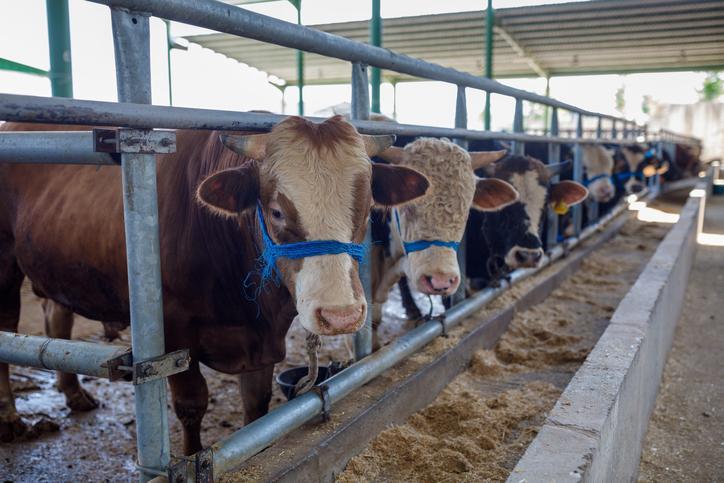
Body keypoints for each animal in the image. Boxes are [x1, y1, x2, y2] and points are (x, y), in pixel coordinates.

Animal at [0, 116, 430, 454]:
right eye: (276, 211)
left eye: (366, 208)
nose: (340, 315)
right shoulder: (172, 332)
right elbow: (192, 405)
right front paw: (192, 457)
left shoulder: (261, 344)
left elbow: (257, 405)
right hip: (4, 264)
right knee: (8, 324)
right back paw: (9, 417)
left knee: (57, 316)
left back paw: (73, 393)